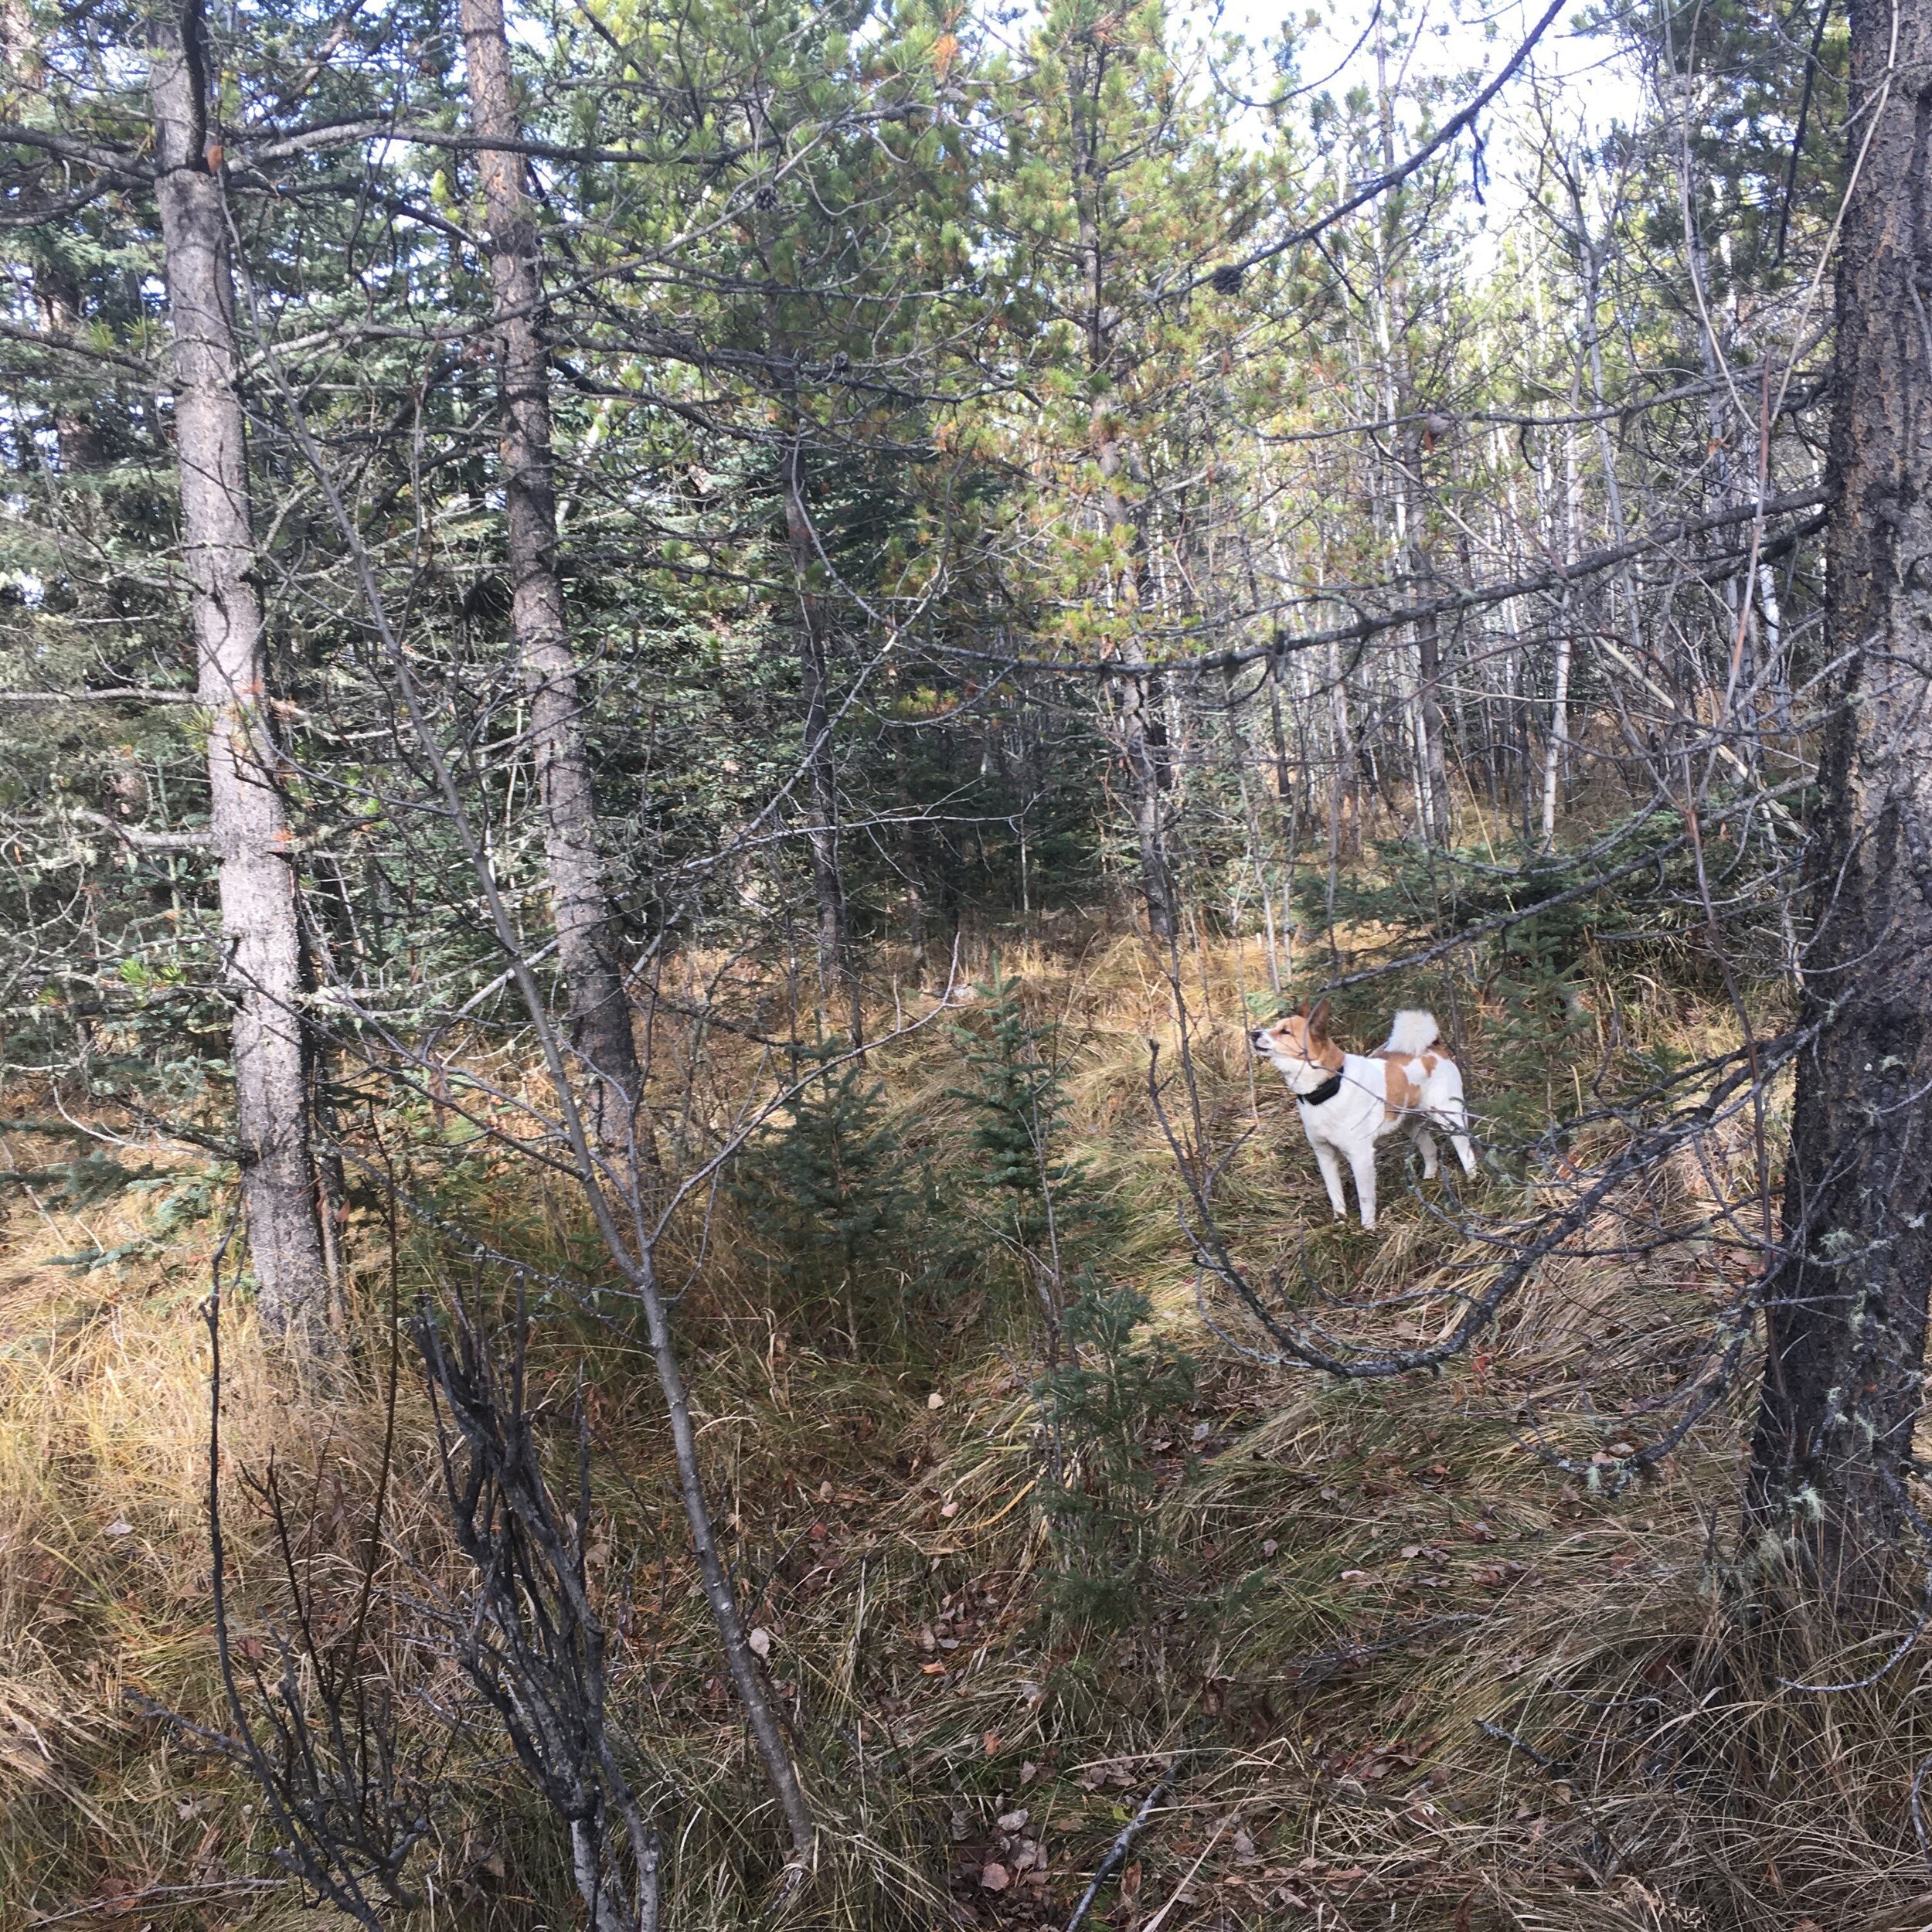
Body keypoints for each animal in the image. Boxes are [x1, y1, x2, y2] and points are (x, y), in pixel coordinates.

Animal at [1252, 1005, 1476, 1229]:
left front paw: (1368, 1228)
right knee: (1430, 1150)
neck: (1330, 1086)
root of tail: (1433, 1049)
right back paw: (1428, 1180)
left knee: (1465, 1150)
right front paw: (1340, 1222)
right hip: (1411, 1124)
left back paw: (1472, 1179)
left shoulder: (1361, 1157)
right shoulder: (1325, 1155)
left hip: (1449, 1118)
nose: (1253, 1033)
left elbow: (1365, 1198)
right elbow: (1335, 1194)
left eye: (1285, 1031)